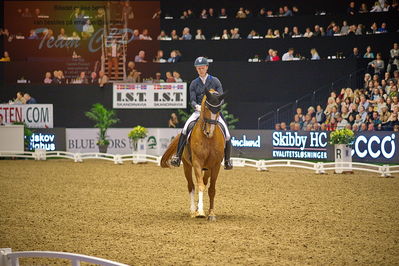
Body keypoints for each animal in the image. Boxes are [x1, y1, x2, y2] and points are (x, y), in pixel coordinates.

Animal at [161, 90, 227, 222]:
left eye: (218, 109)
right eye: (206, 107)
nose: (209, 132)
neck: (208, 139)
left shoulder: (216, 166)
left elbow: (211, 189)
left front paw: (211, 213)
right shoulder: (197, 163)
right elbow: (200, 186)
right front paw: (200, 212)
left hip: (208, 169)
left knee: (204, 182)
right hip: (187, 165)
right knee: (191, 186)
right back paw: (193, 211)